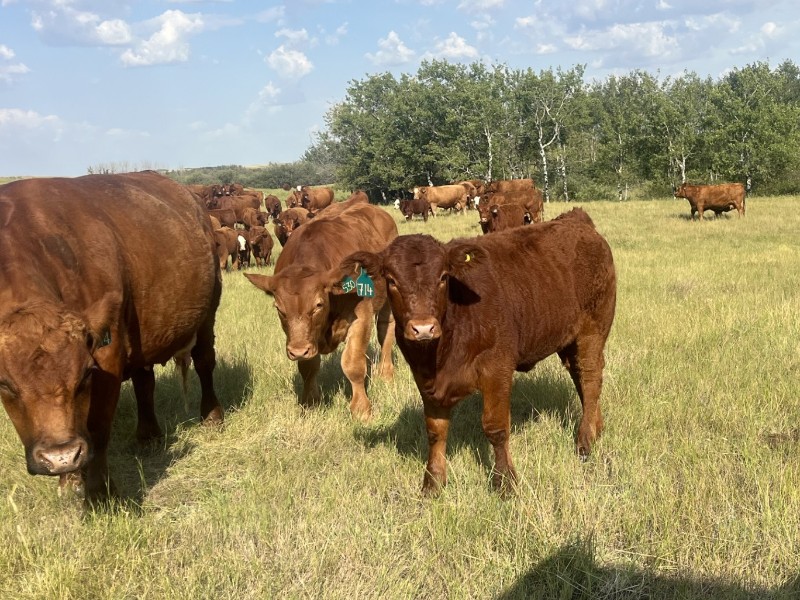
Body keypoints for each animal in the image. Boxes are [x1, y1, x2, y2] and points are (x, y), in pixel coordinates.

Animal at [0, 171, 223, 502]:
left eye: (86, 375)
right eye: (4, 384)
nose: (60, 456)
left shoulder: (107, 354)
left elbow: (97, 426)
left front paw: (100, 492)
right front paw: (69, 480)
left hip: (208, 314)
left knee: (204, 362)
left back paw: (212, 417)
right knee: (145, 381)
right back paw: (148, 435)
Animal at [244, 199, 398, 420]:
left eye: (318, 304)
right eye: (279, 308)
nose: (298, 350)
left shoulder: (362, 316)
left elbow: (353, 364)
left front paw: (361, 409)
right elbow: (308, 368)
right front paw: (310, 403)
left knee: (386, 332)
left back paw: (386, 374)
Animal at [339, 208, 616, 495]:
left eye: (443, 277)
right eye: (392, 280)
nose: (423, 328)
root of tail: (576, 221)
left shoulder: (497, 368)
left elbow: (496, 428)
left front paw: (504, 481)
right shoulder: (424, 378)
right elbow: (435, 430)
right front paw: (433, 482)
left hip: (592, 331)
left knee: (590, 378)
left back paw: (585, 440)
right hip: (568, 340)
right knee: (580, 377)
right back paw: (596, 426)